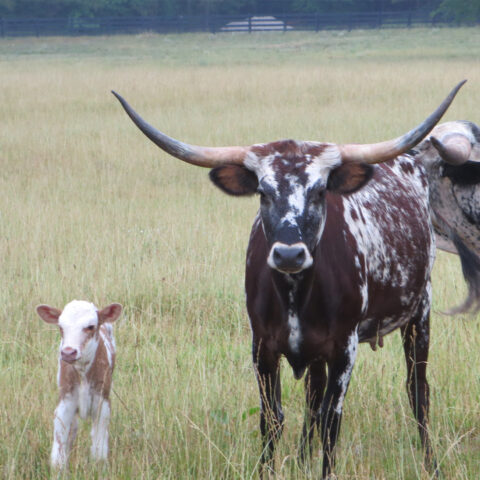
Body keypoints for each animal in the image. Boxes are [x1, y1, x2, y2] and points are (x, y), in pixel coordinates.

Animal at [36, 300, 123, 468]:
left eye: (90, 326)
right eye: (61, 327)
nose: (68, 352)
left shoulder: (102, 403)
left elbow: (99, 447)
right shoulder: (65, 402)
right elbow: (59, 447)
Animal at [111, 80, 464, 478]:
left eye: (320, 190)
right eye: (263, 192)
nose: (289, 254)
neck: (294, 294)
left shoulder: (345, 347)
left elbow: (331, 420)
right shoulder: (262, 346)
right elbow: (273, 417)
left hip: (420, 313)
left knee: (417, 391)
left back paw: (431, 463)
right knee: (313, 394)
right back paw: (302, 457)